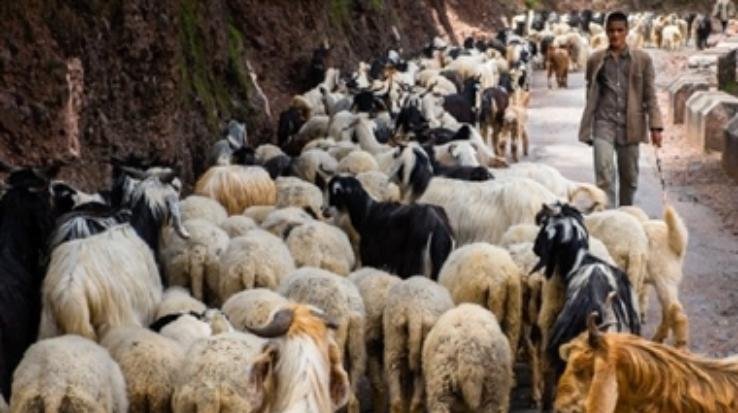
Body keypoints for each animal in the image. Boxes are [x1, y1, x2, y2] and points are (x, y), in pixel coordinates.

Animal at [325, 175, 454, 279]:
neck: (367, 213)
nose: (324, 210)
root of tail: (435, 224)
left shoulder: (371, 256)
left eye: (334, 192)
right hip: (438, 264)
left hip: (413, 261)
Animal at [383, 276, 455, 413]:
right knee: (420, 371)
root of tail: (414, 308)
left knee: (394, 367)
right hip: (424, 339)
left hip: (394, 335)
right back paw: (417, 405)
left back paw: (398, 405)